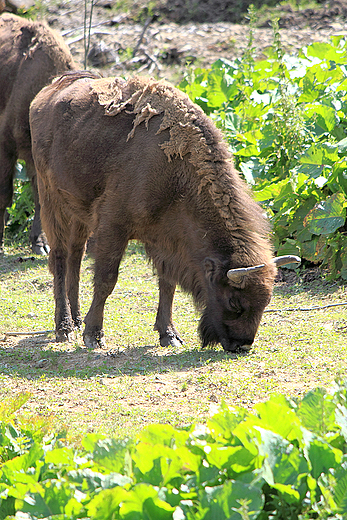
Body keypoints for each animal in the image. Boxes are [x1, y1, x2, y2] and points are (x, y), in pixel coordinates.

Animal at [30, 71, 302, 352]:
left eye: (266, 302)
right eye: (234, 301)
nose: (242, 345)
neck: (178, 176)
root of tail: (50, 91)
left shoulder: (165, 241)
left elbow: (167, 285)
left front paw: (169, 335)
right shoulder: (113, 228)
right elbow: (107, 280)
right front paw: (94, 335)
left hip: (77, 211)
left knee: (75, 256)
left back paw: (74, 320)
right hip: (52, 201)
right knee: (60, 259)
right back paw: (64, 328)